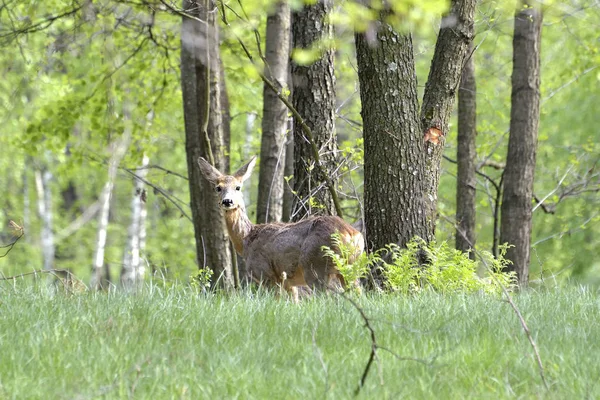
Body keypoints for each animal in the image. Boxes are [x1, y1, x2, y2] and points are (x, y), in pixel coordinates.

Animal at [198, 155, 366, 298]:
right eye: (218, 187)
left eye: (238, 187)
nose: (227, 201)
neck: (247, 239)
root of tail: (351, 233)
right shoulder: (288, 282)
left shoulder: (266, 274)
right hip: (352, 266)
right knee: (359, 293)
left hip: (316, 266)